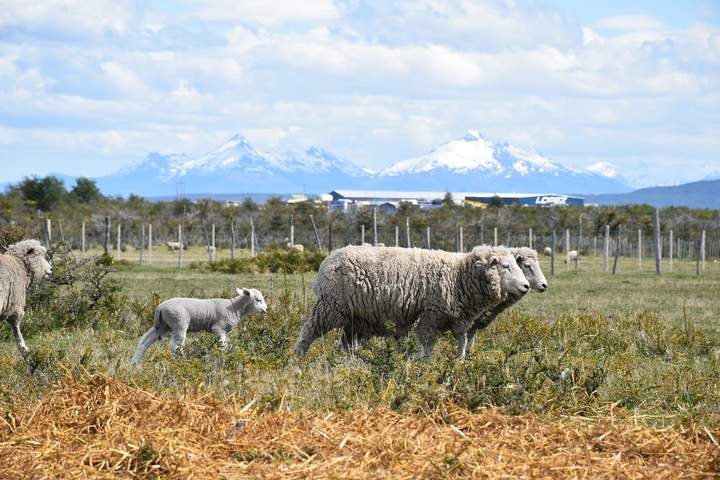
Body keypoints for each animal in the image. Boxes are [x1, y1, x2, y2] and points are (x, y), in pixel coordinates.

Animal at [131, 287, 267, 367]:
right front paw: (222, 361)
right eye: (258, 300)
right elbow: (222, 347)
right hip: (179, 323)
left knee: (144, 341)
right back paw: (182, 363)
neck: (234, 307)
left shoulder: (225, 332)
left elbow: (225, 346)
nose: (265, 310)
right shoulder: (218, 328)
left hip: (163, 326)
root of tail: (159, 307)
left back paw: (134, 364)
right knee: (176, 346)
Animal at [294, 246, 529, 359]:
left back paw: (349, 364)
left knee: (346, 345)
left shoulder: (457, 321)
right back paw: (298, 361)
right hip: (330, 306)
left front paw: (457, 363)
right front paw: (423, 366)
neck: (459, 275)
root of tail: (329, 259)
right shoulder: (430, 316)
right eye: (506, 266)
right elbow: (426, 347)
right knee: (308, 332)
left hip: (356, 318)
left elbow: (461, 344)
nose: (526, 286)